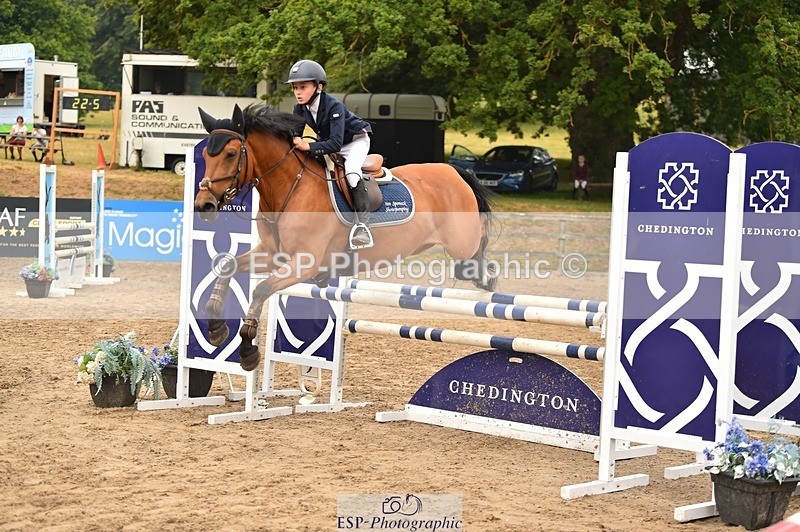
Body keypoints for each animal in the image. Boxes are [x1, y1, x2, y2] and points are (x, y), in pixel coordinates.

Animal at [195, 103, 495, 372]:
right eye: (207, 156)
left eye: (231, 154)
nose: (204, 205)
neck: (291, 187)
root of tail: (453, 171)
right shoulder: (272, 254)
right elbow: (228, 266)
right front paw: (216, 327)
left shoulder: (304, 263)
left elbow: (261, 290)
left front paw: (248, 350)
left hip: (461, 242)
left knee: (478, 247)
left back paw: (487, 276)